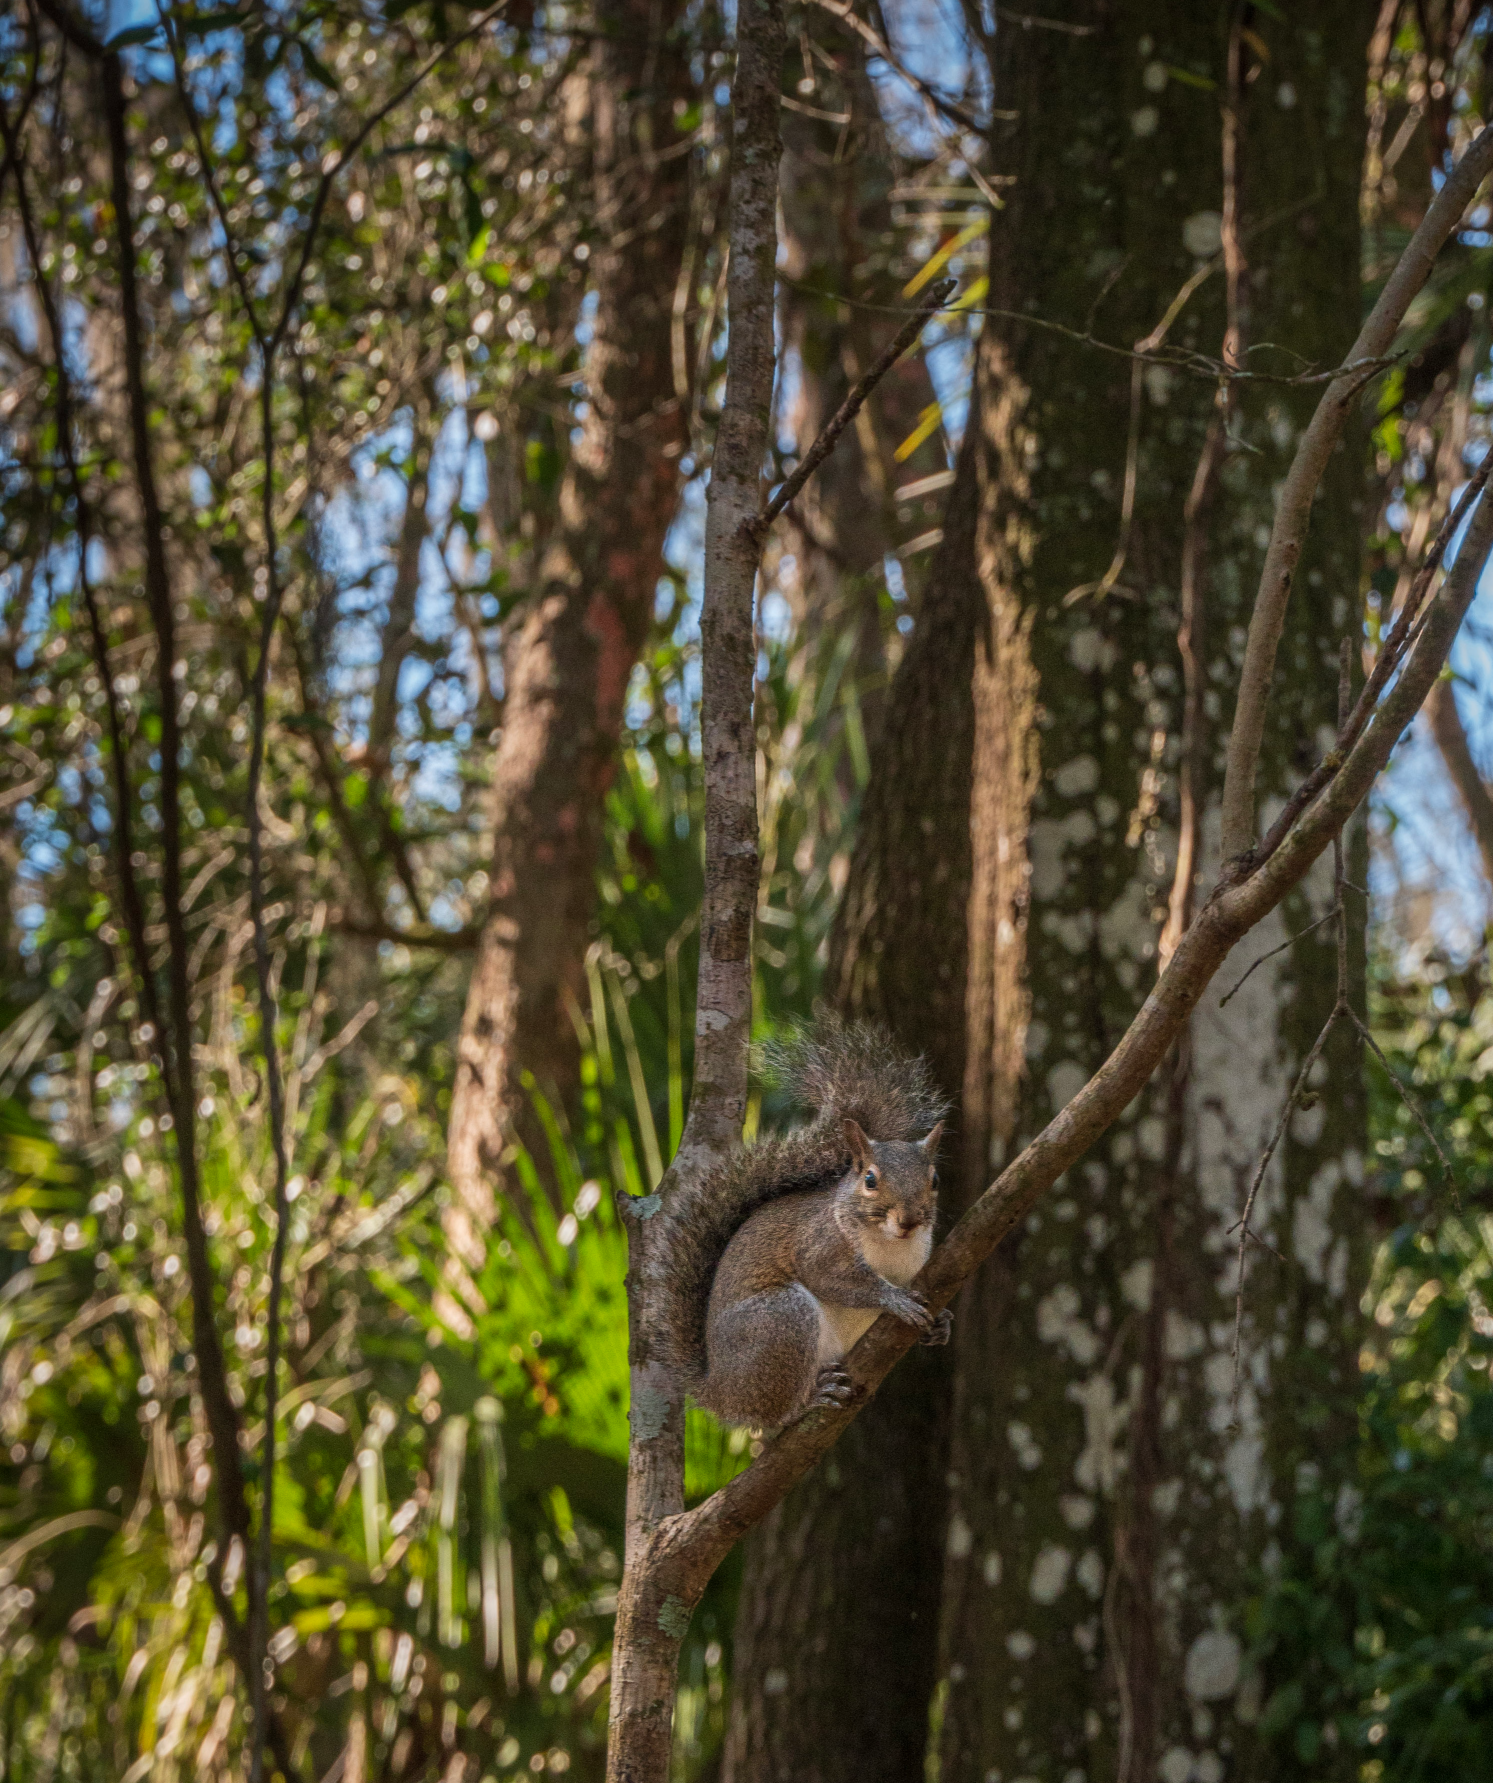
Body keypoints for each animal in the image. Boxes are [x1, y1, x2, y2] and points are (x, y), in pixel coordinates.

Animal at [659, 1027, 948, 1426]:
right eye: (870, 1180)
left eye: (934, 1180)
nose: (908, 1221)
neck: (891, 1244)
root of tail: (718, 1391)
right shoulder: (818, 1244)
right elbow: (830, 1277)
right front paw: (893, 1298)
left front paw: (943, 1323)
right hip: (782, 1321)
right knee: (775, 1413)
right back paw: (808, 1400)